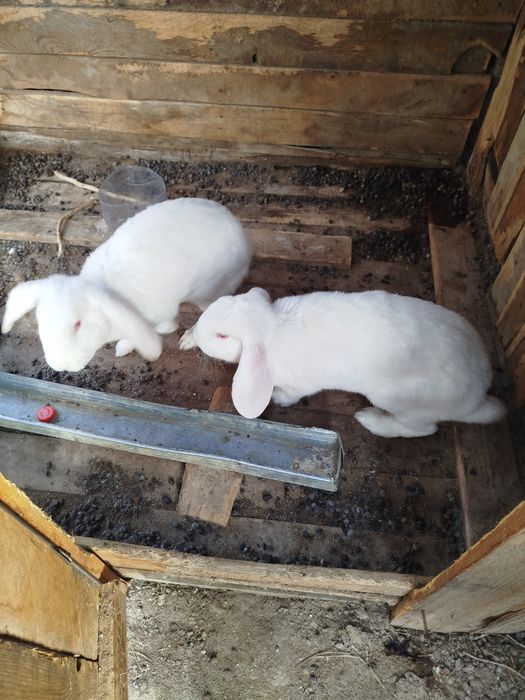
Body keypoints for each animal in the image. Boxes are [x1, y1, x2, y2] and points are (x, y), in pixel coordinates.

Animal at [2, 198, 252, 372]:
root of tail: (242, 237)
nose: (60, 365)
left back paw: (188, 339)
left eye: (78, 325)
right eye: (40, 322)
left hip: (207, 291)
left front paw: (133, 344)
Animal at [180, 287, 506, 438]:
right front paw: (187, 338)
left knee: (423, 429)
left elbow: (292, 394)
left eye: (222, 336)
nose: (200, 328)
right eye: (222, 301)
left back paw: (371, 420)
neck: (272, 326)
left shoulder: (302, 385)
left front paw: (277, 397)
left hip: (400, 401)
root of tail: (478, 393)